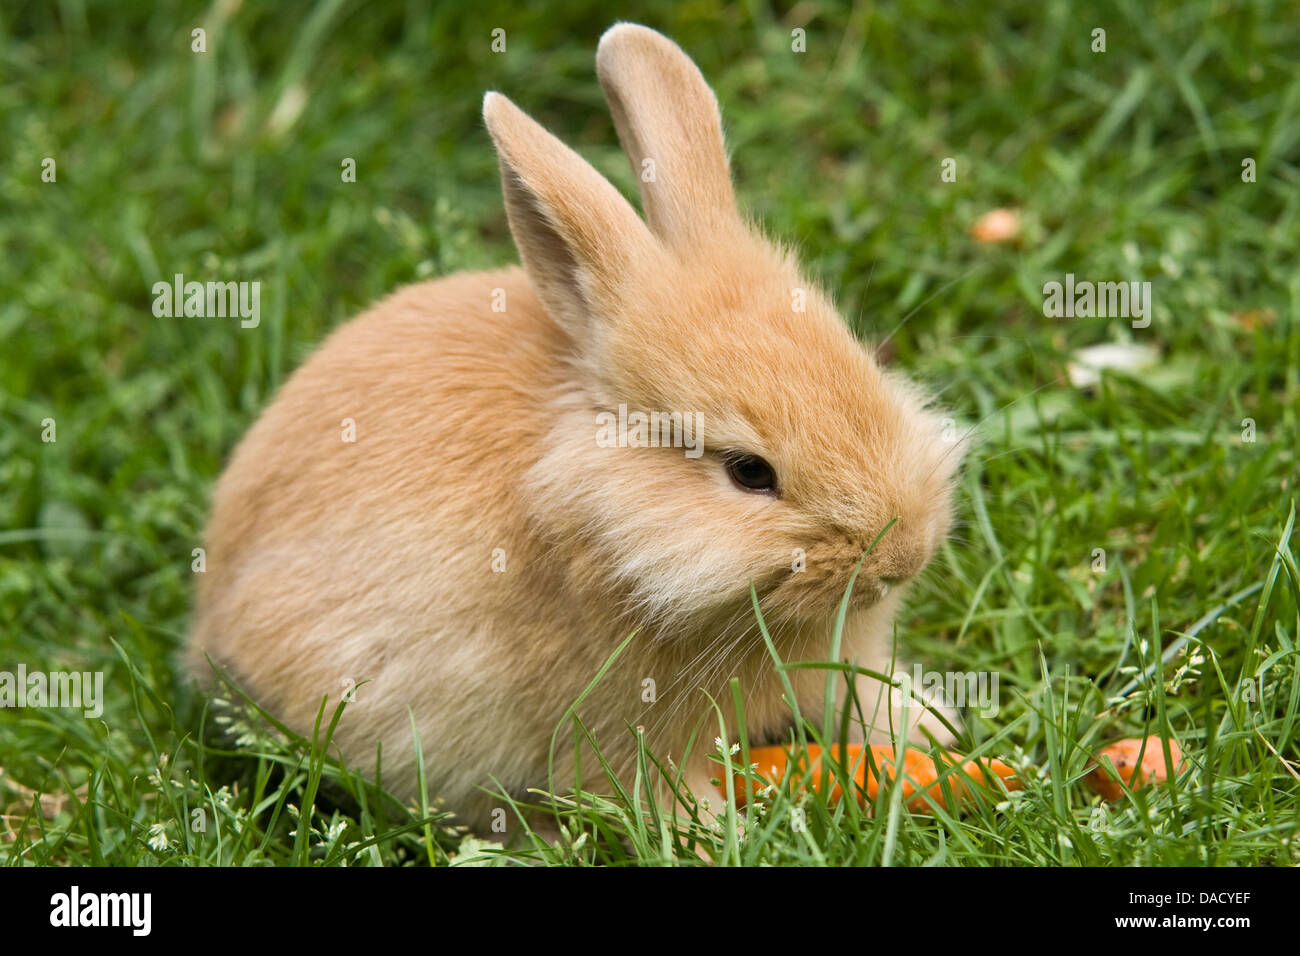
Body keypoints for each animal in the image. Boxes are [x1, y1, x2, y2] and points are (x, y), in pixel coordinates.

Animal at [188, 22, 965, 837]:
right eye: (749, 472)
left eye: (867, 364)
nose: (903, 558)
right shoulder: (620, 730)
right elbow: (652, 788)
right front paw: (716, 834)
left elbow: (856, 692)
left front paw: (932, 728)